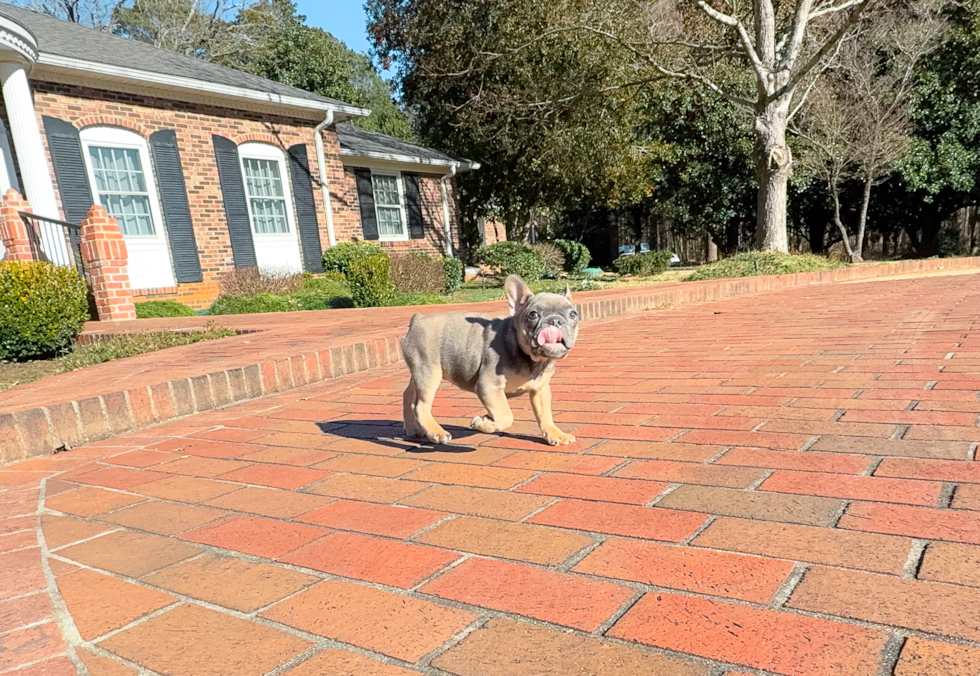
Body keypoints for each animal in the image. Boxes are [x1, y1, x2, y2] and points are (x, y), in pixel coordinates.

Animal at [402, 272, 580, 446]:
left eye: (573, 314)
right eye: (533, 315)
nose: (555, 320)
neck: (532, 359)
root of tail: (418, 319)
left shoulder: (540, 389)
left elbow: (545, 414)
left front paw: (555, 434)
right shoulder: (489, 386)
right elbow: (506, 416)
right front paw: (482, 423)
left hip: (418, 373)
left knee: (408, 394)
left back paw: (414, 430)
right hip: (429, 372)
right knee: (420, 405)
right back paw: (436, 433)